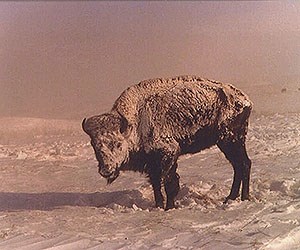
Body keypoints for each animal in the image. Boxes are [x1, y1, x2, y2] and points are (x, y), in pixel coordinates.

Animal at [81, 75, 252, 210]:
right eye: (94, 145)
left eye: (118, 144)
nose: (106, 170)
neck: (135, 122)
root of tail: (245, 100)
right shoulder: (152, 164)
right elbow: (156, 185)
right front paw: (159, 205)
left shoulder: (169, 154)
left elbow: (169, 183)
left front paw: (169, 207)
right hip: (228, 143)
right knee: (239, 165)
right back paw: (231, 198)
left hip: (230, 140)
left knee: (244, 164)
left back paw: (243, 198)